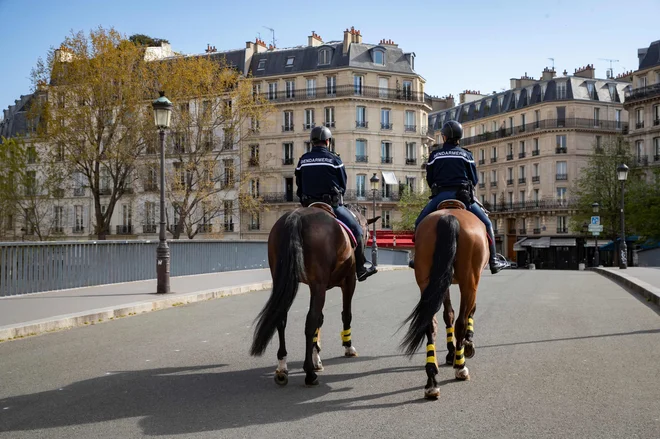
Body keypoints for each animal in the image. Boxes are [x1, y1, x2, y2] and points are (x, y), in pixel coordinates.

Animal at [250, 205, 378, 386]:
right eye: (366, 231)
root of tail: (296, 217)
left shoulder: (316, 287)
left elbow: (320, 319)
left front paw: (316, 356)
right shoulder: (347, 282)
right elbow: (345, 315)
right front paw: (347, 347)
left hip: (286, 280)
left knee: (281, 319)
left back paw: (282, 366)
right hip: (321, 284)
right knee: (310, 322)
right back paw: (309, 373)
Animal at [400, 201, 488, 400]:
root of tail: (449, 216)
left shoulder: (442, 282)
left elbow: (448, 314)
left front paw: (451, 353)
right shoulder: (475, 281)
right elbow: (469, 312)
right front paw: (466, 346)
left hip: (428, 280)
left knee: (429, 324)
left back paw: (432, 380)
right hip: (469, 280)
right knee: (461, 321)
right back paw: (461, 367)